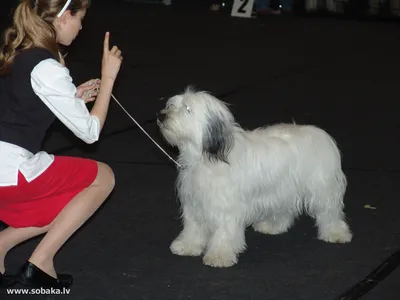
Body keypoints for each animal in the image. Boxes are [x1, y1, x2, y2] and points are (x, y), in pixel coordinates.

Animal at [158, 88, 352, 268]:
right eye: (172, 105)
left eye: (187, 109)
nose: (161, 116)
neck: (206, 157)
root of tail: (321, 134)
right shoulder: (195, 202)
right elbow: (194, 228)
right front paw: (187, 246)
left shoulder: (227, 207)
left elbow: (224, 231)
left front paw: (219, 255)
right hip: (282, 189)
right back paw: (273, 226)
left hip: (322, 188)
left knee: (330, 212)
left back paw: (336, 233)